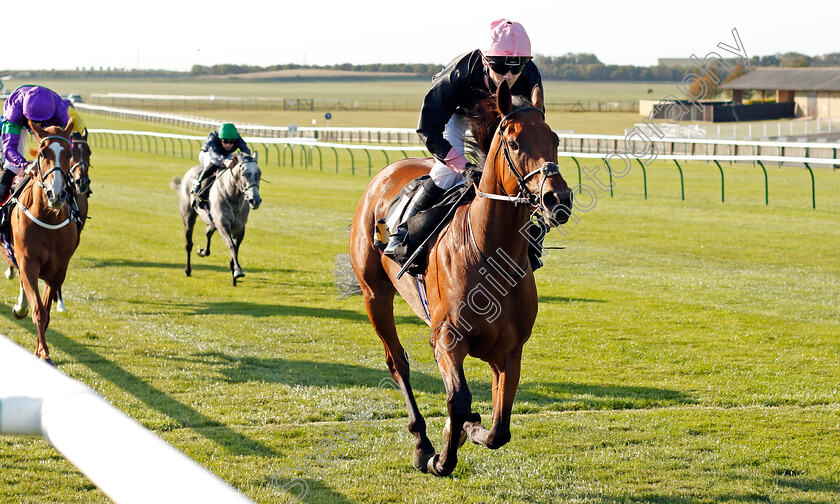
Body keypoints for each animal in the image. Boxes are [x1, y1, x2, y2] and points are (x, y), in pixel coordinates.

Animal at [2, 120, 79, 364]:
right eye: (43, 153)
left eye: (69, 153)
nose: (56, 195)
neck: (47, 218)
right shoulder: (29, 264)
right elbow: (39, 310)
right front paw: (44, 353)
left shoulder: (58, 271)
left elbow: (46, 312)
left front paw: (40, 352)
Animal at [171, 154, 262, 286]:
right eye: (244, 174)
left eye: (259, 173)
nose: (255, 200)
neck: (233, 198)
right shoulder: (223, 225)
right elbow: (231, 246)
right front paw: (238, 271)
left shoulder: (239, 228)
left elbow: (235, 248)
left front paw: (234, 274)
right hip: (188, 217)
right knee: (189, 244)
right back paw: (188, 270)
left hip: (211, 221)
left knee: (208, 232)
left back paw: (203, 251)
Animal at [352, 82, 576, 476]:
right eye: (514, 142)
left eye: (555, 139)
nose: (557, 198)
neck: (487, 253)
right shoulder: (447, 337)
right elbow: (457, 398)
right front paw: (442, 456)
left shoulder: (509, 351)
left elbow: (500, 429)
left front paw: (469, 428)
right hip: (374, 294)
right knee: (398, 363)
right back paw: (422, 444)